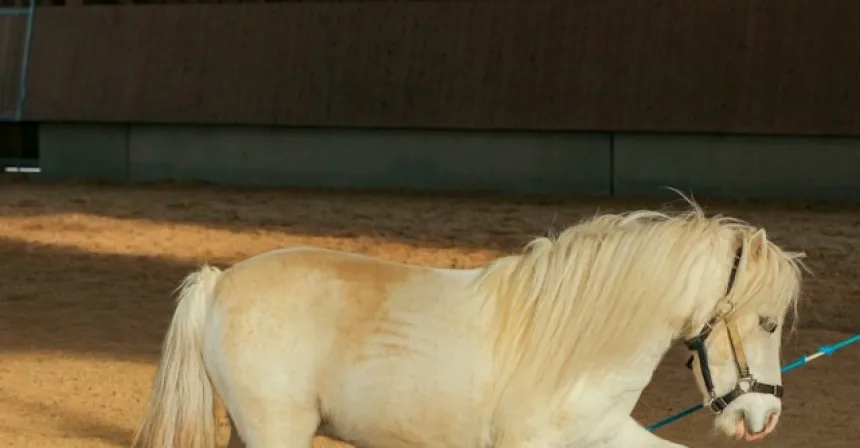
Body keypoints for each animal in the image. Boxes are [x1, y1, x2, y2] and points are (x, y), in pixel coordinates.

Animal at [130, 202, 804, 448]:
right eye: (768, 322)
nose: (765, 418)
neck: (576, 345)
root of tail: (219, 282)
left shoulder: (605, 434)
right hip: (279, 430)